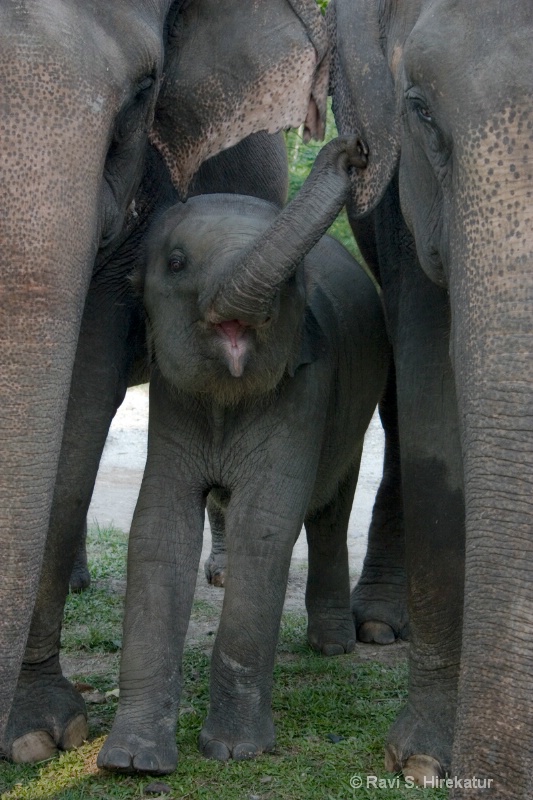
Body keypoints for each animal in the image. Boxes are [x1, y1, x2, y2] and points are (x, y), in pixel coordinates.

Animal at [98, 138, 386, 776]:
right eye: (176, 263)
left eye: (294, 279)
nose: (350, 149)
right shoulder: (171, 397)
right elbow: (158, 527)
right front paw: (131, 762)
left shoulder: (306, 391)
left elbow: (267, 526)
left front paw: (234, 752)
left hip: (357, 409)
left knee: (330, 510)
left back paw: (333, 644)